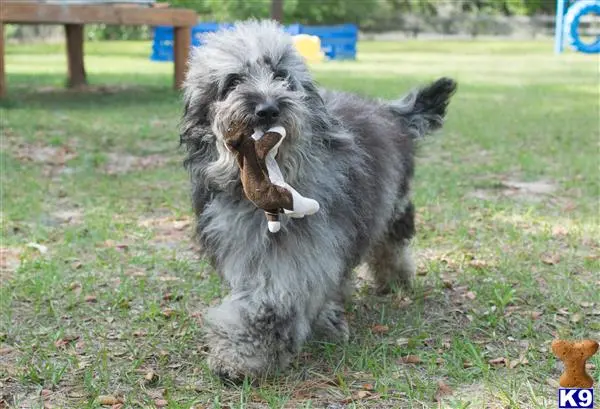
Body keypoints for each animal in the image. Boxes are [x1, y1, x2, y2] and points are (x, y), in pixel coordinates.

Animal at [178, 20, 454, 380]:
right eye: (233, 81)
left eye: (281, 76)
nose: (267, 109)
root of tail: (387, 110)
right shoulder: (248, 248)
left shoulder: (299, 254)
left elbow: (272, 303)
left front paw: (242, 353)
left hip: (394, 204)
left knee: (390, 244)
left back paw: (393, 280)